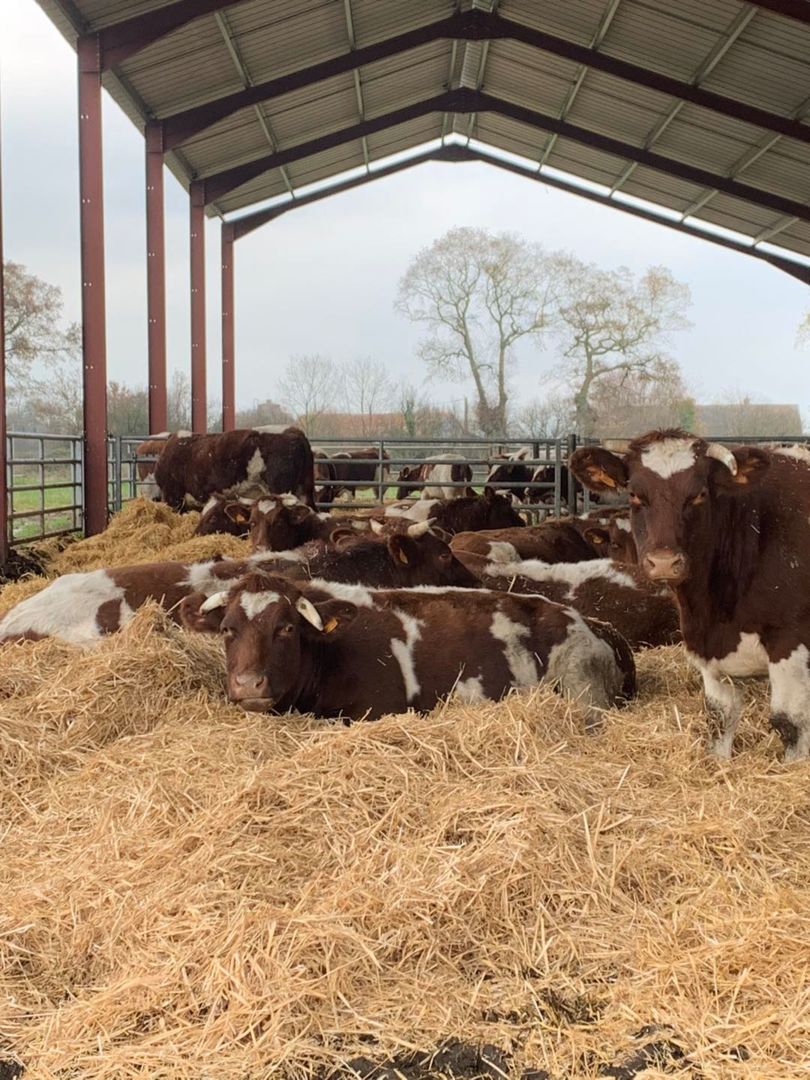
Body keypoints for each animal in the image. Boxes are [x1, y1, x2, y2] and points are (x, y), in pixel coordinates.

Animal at [570, 429, 810, 760]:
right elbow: (719, 717)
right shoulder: (707, 649)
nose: (663, 562)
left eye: (699, 494)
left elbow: (790, 724)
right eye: (634, 495)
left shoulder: (790, 643)